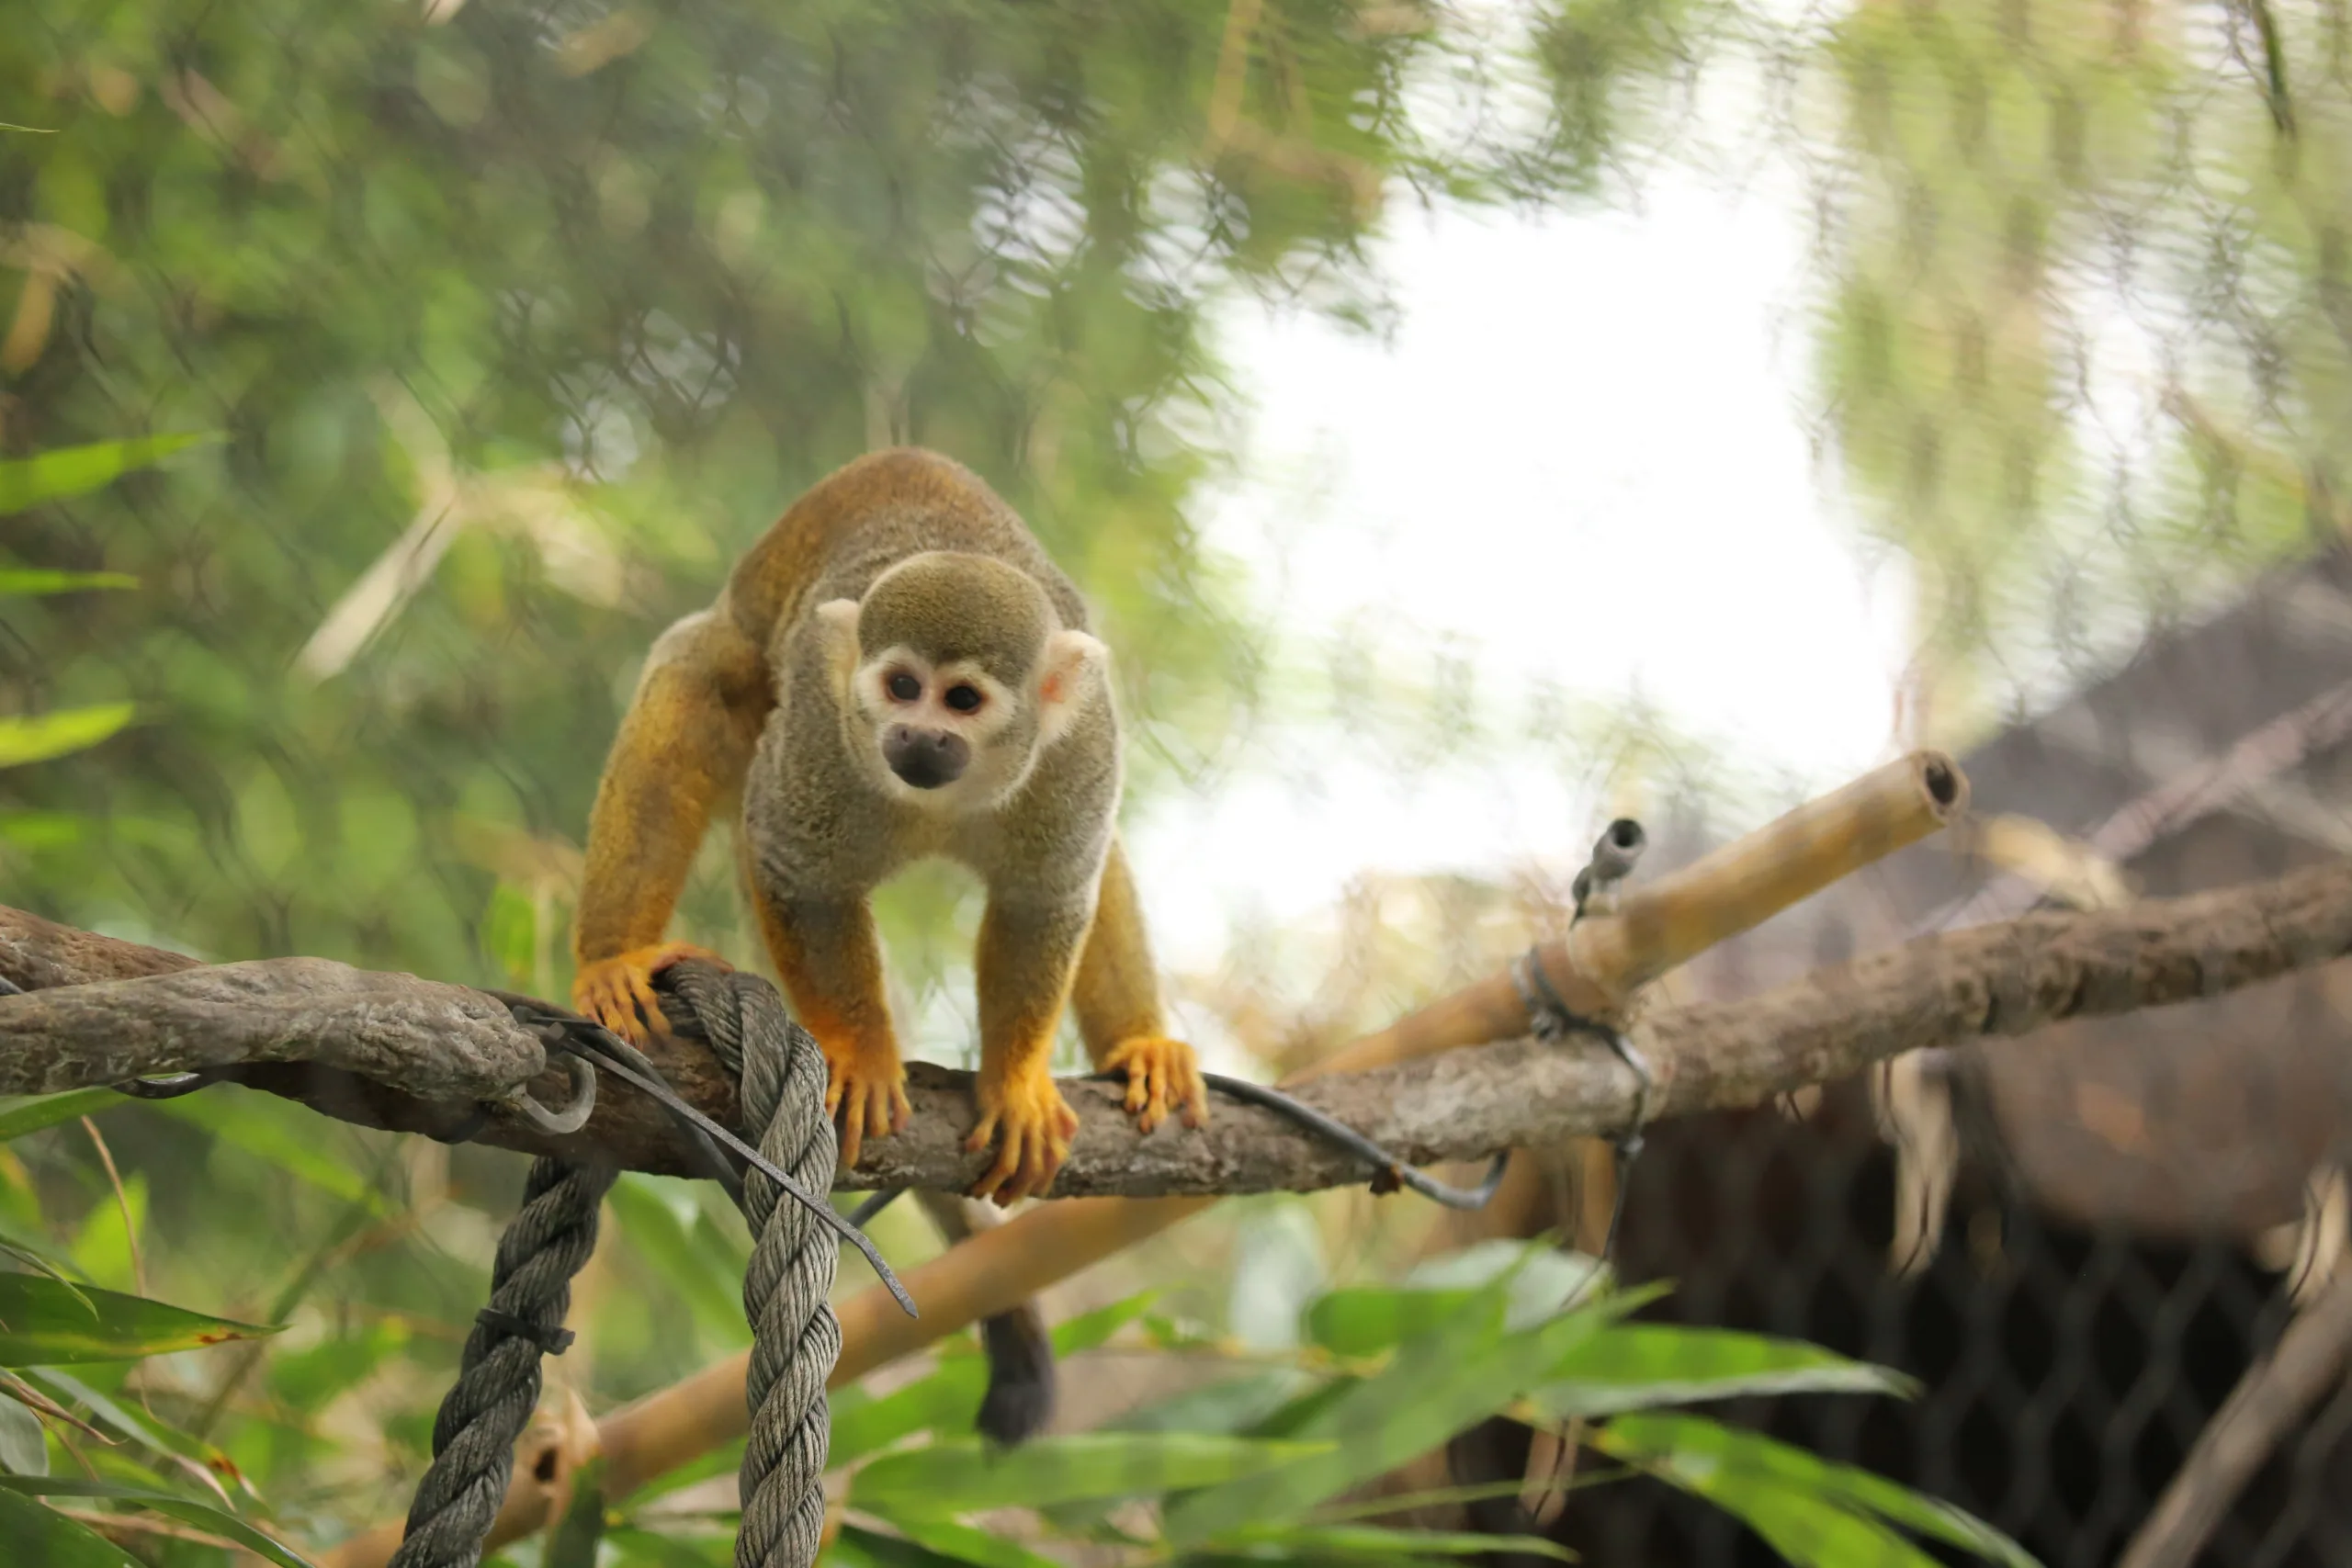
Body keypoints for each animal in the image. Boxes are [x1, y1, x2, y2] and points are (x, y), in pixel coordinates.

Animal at [571, 446, 1213, 1213]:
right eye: (901, 686)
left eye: (962, 699)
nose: (917, 735)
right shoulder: (824, 725)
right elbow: (801, 873)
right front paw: (859, 1052)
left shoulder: (1080, 747)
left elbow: (1044, 900)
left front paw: (1014, 1084)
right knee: (703, 675)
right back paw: (612, 959)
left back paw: (1140, 1047)